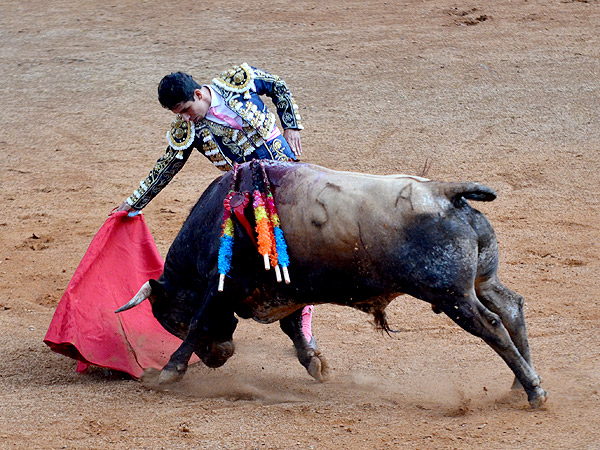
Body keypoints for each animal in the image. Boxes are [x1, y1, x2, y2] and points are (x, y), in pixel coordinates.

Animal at [117, 161, 548, 408]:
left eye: (171, 320)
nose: (217, 358)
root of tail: (444, 192)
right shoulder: (286, 291)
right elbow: (293, 328)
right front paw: (316, 364)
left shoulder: (222, 286)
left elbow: (201, 321)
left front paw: (168, 373)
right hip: (482, 281)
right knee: (512, 308)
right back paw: (519, 383)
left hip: (452, 295)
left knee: (492, 325)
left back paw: (534, 391)